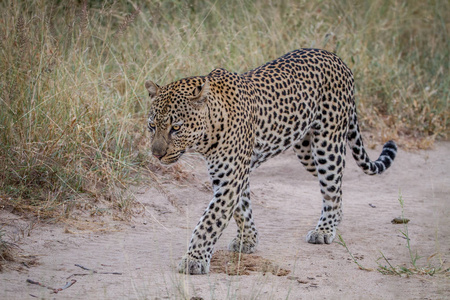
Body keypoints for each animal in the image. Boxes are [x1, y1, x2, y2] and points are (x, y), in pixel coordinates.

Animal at [144, 48, 398, 274]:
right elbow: (242, 210)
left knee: (333, 186)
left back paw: (324, 230)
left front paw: (193, 260)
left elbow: (210, 221)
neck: (209, 133)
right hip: (306, 151)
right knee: (336, 185)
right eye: (152, 126)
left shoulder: (230, 178)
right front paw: (248, 240)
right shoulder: (231, 175)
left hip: (327, 145)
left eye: (176, 128)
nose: (156, 154)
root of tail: (337, 58)